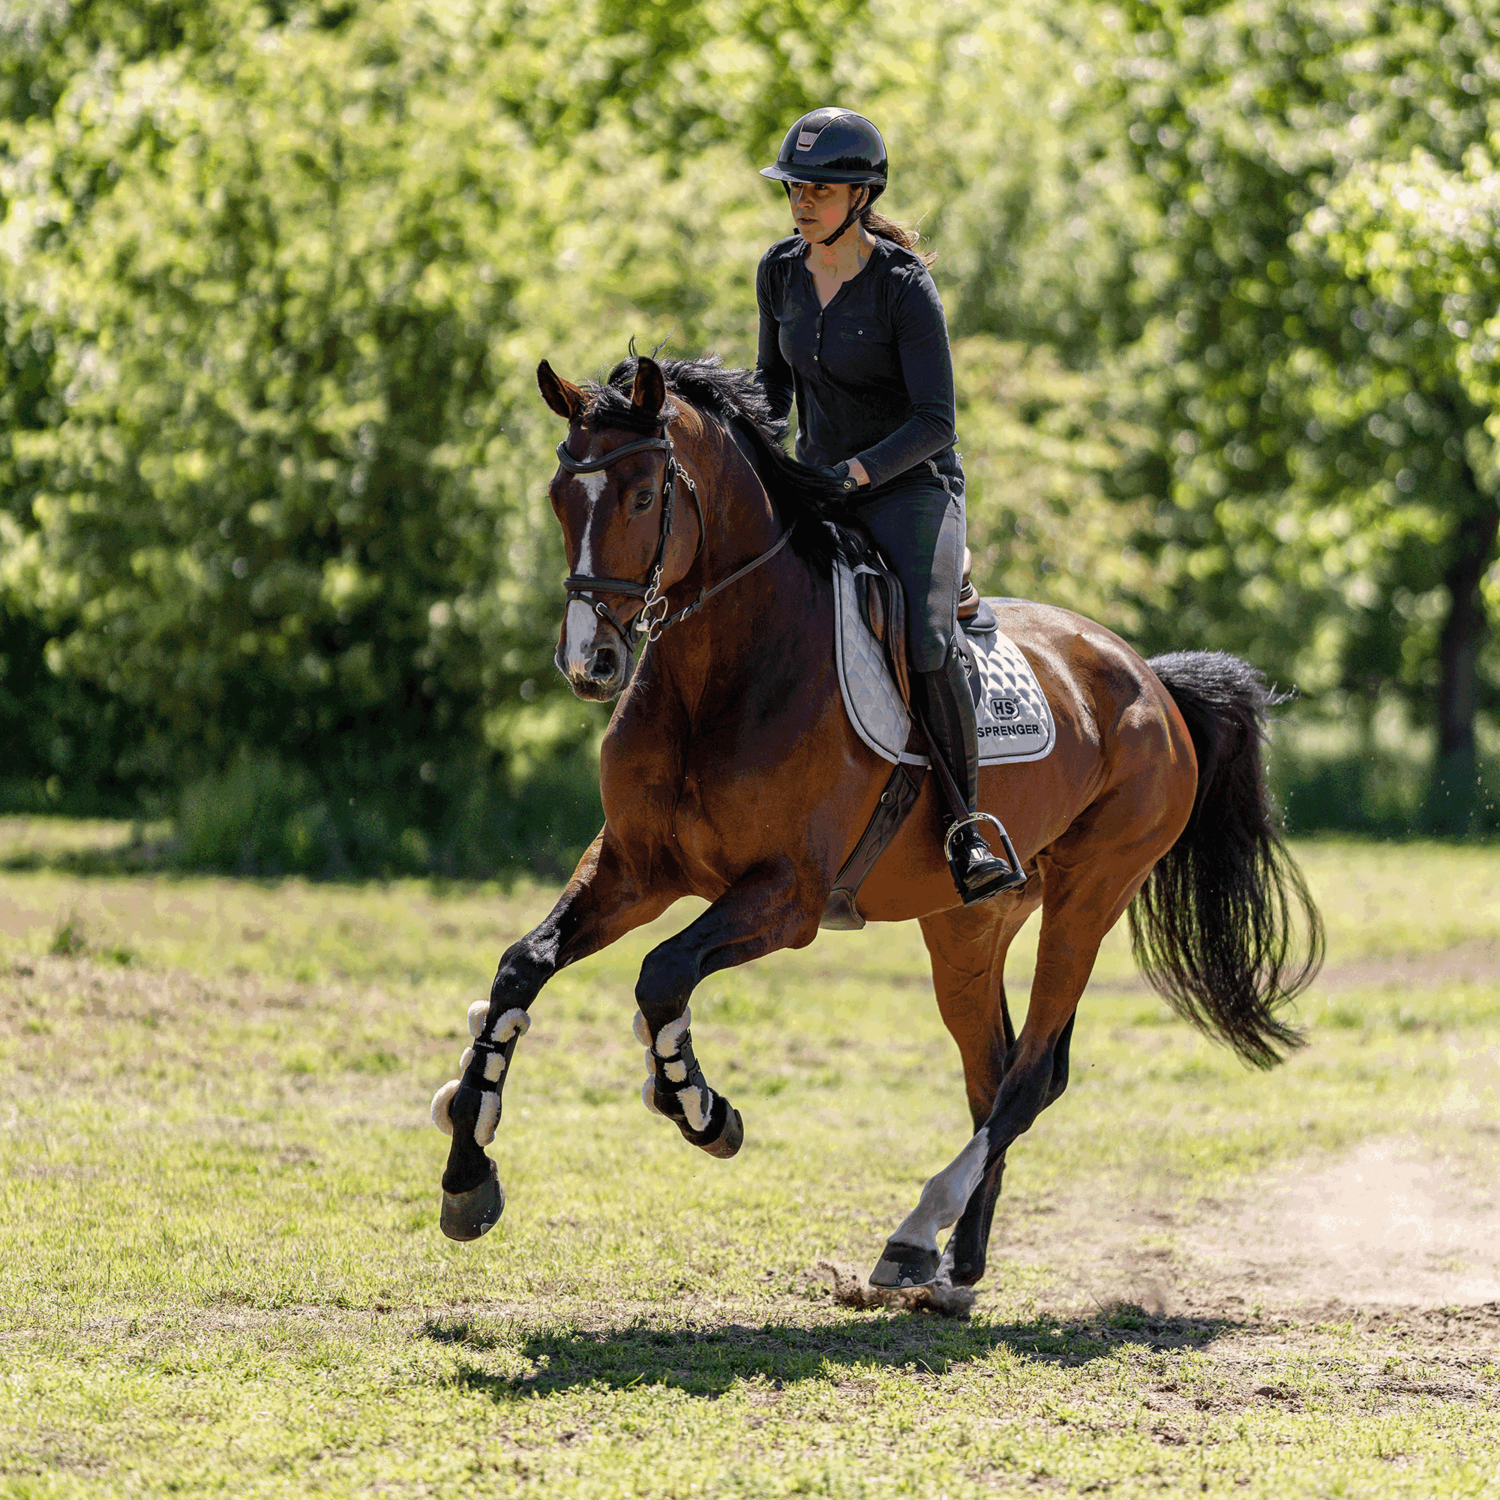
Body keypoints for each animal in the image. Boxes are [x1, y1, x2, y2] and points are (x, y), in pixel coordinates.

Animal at [429, 351, 1320, 1290]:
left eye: (641, 497)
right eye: (560, 496)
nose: (590, 663)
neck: (720, 670)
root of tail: (1150, 676)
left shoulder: (787, 896)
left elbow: (662, 975)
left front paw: (702, 1108)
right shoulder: (637, 866)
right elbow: (523, 967)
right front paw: (468, 1170)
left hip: (1092, 892)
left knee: (1032, 1076)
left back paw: (918, 1230)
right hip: (968, 925)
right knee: (993, 1069)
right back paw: (957, 1262)